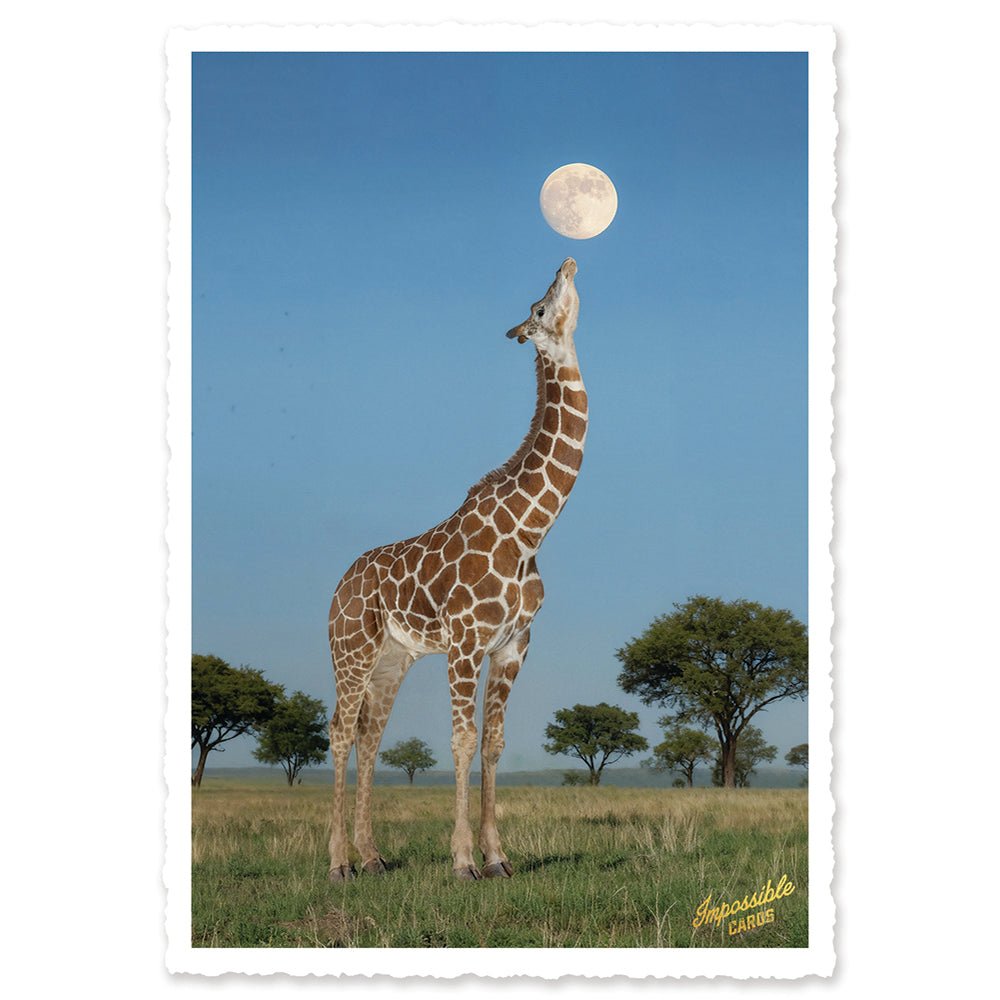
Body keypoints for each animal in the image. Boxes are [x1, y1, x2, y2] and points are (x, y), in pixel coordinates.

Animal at [327, 257, 588, 881]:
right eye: (540, 307)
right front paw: (464, 861)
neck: (528, 530)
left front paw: (499, 858)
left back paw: (372, 857)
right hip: (350, 651)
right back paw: (338, 862)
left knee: (370, 736)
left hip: (391, 660)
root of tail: (337, 587)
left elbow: (493, 742)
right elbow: (462, 741)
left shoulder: (514, 644)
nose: (566, 262)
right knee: (340, 732)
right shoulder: (465, 641)